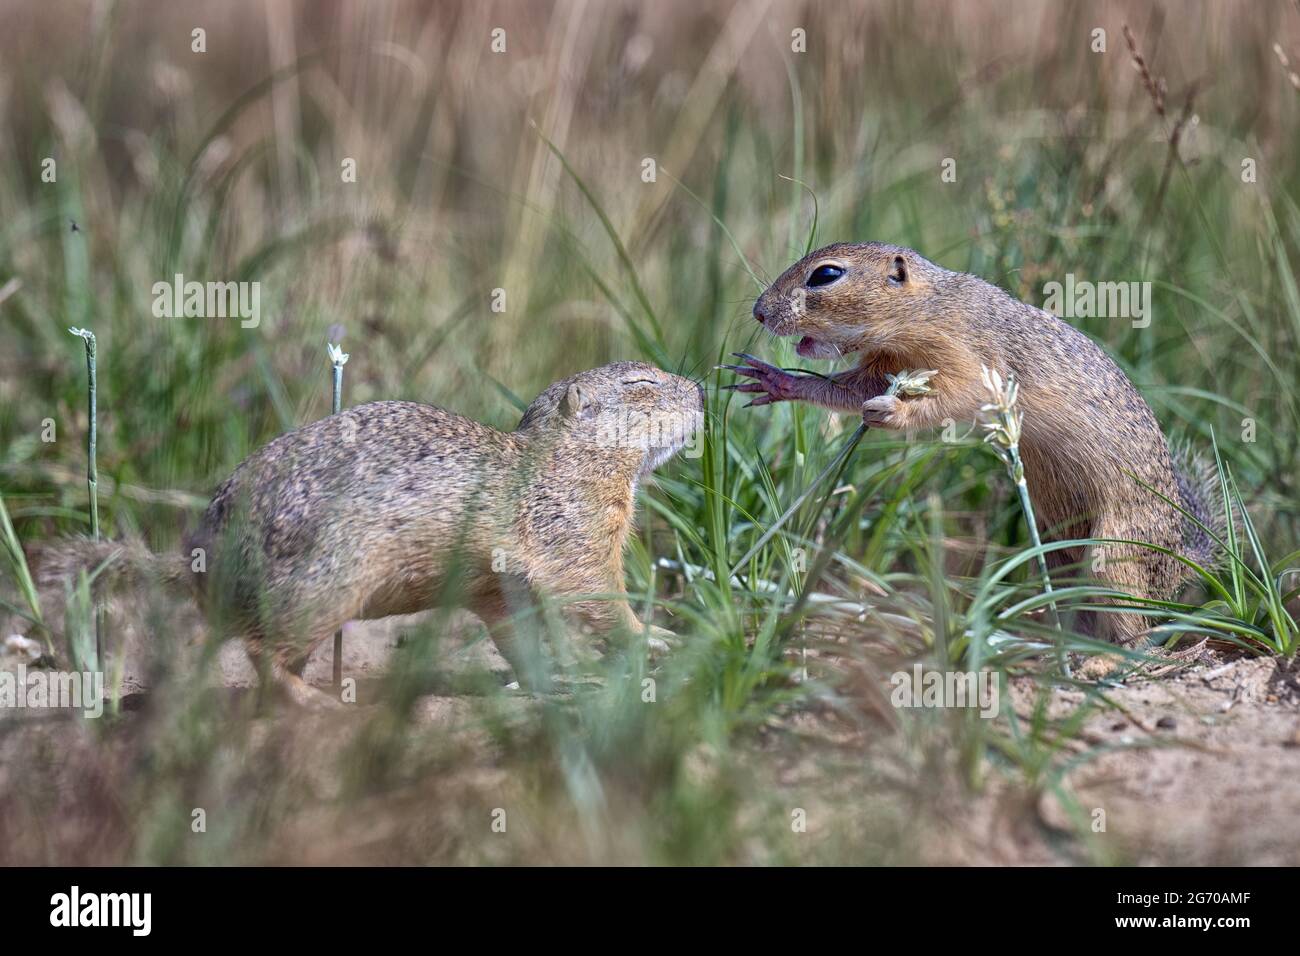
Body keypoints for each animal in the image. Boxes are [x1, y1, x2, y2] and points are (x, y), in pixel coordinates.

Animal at [32, 361, 702, 707]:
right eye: (642, 385)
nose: (700, 389)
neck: (562, 460)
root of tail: (200, 560)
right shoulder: (574, 532)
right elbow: (594, 596)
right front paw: (656, 639)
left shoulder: (496, 588)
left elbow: (520, 637)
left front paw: (556, 678)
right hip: (323, 591)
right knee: (261, 655)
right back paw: (316, 702)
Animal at [733, 240, 1216, 650]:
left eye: (826, 275)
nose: (758, 312)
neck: (927, 307)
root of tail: (1180, 560)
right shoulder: (884, 365)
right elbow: (844, 390)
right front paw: (778, 381)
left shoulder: (968, 362)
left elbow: (955, 397)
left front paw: (891, 413)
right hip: (1059, 554)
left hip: (1114, 555)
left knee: (1137, 631)